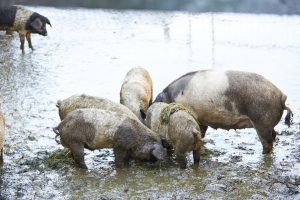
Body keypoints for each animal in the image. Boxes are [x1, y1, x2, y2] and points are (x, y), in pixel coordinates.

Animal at [155, 69, 292, 154]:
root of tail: (281, 96)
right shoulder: (202, 119)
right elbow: (202, 132)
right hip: (267, 124)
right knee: (274, 135)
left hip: (261, 122)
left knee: (267, 143)